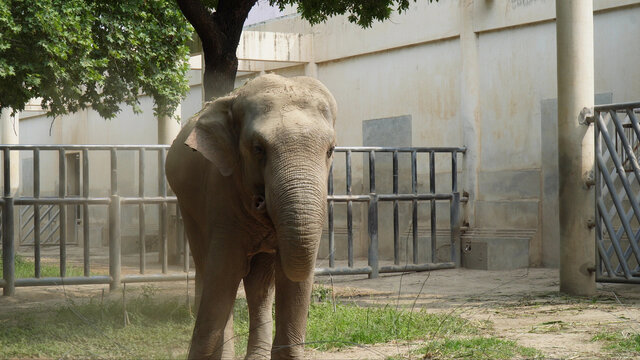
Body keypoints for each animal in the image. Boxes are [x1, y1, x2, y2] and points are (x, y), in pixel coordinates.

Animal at [166, 74, 340, 360]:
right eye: (258, 149)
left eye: (330, 150)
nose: (260, 202)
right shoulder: (221, 192)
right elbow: (225, 270)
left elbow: (294, 279)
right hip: (188, 205)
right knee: (209, 268)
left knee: (259, 285)